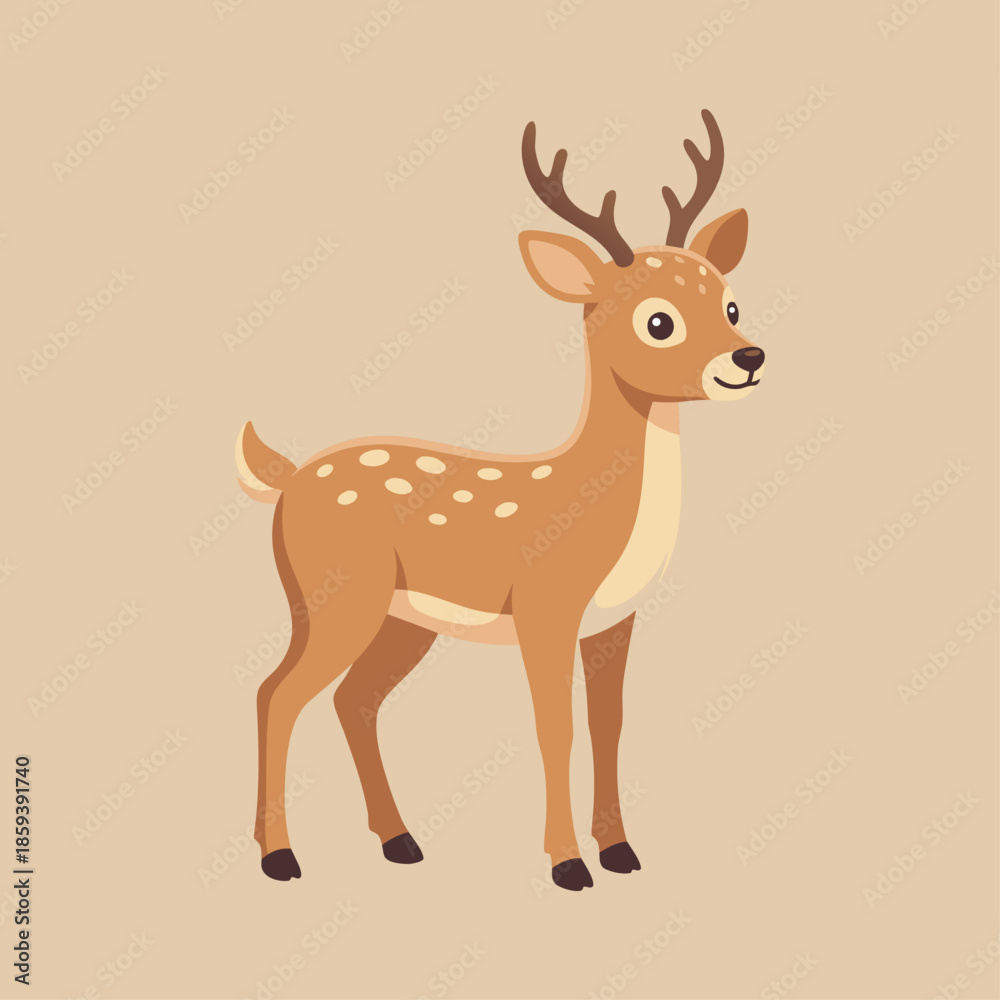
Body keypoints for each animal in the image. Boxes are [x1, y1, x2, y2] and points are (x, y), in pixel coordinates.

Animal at [235, 109, 764, 891]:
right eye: (658, 320)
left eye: (729, 301)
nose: (748, 357)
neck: (592, 503)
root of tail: (290, 476)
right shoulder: (546, 606)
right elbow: (555, 727)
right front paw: (569, 865)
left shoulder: (615, 620)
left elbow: (609, 725)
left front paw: (621, 852)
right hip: (332, 594)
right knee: (277, 692)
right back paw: (280, 858)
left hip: (401, 619)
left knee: (352, 699)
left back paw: (401, 841)